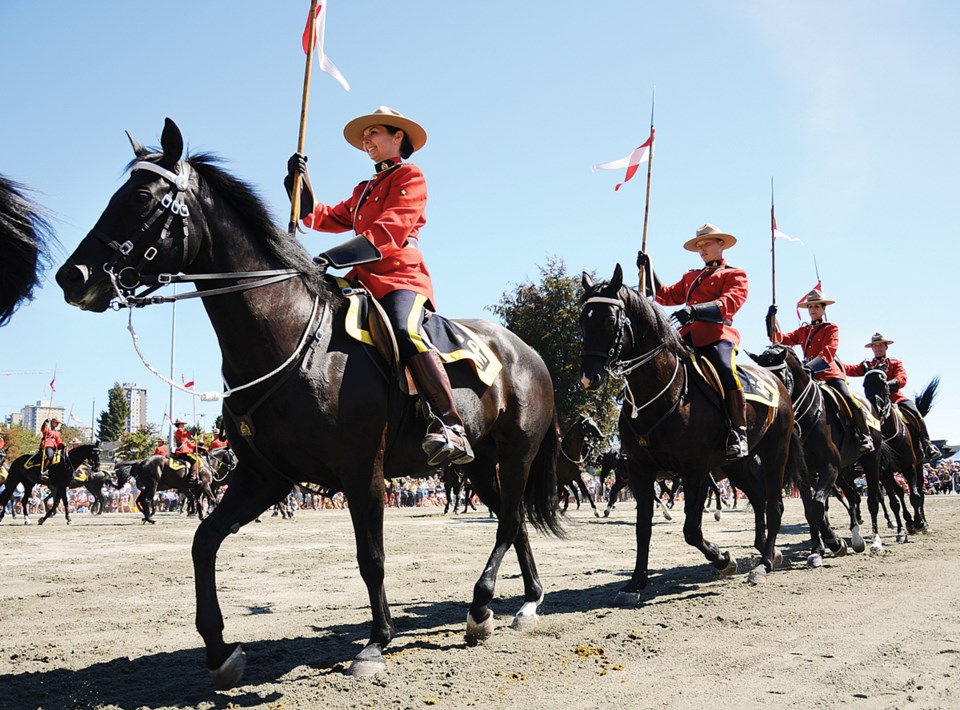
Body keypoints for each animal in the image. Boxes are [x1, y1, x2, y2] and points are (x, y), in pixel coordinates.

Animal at [56, 118, 564, 688]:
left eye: (142, 198)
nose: (72, 276)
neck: (290, 334)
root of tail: (528, 350)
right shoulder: (264, 476)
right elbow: (203, 541)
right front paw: (219, 648)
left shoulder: (363, 470)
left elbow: (371, 556)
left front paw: (377, 642)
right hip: (477, 464)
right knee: (514, 521)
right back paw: (521, 603)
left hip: (516, 455)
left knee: (509, 521)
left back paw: (483, 607)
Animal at [580, 266, 800, 600]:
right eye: (583, 319)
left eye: (608, 320)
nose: (588, 378)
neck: (661, 392)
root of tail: (776, 382)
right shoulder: (640, 470)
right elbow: (642, 527)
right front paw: (635, 582)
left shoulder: (695, 471)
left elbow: (691, 530)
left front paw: (723, 559)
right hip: (737, 465)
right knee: (759, 498)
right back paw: (768, 551)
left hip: (776, 455)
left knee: (774, 505)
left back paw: (763, 565)